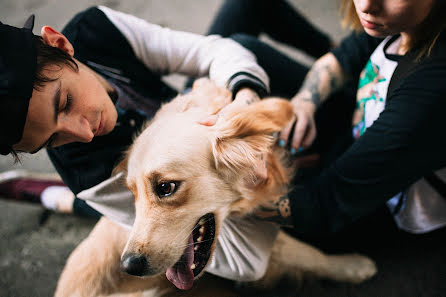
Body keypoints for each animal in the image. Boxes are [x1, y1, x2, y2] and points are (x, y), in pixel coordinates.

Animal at [54, 78, 378, 296]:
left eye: (166, 187)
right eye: (131, 194)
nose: (129, 266)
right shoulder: (258, 249)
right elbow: (308, 253)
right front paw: (354, 266)